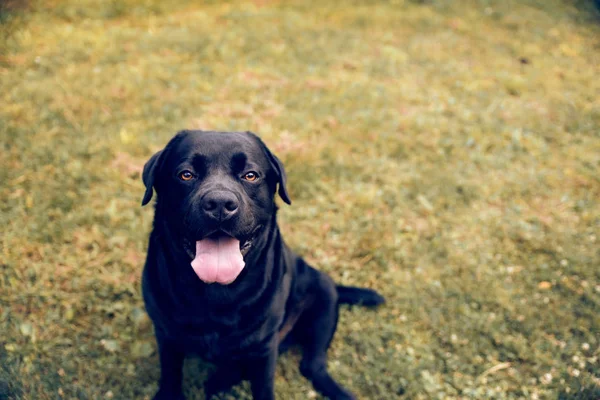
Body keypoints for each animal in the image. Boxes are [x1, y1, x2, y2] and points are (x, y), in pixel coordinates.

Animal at [141, 130, 384, 398]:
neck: (217, 293)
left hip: (324, 298)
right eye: (186, 174)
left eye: (250, 175)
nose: (220, 203)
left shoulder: (264, 349)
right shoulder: (167, 337)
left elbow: (263, 386)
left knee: (313, 366)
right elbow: (170, 377)